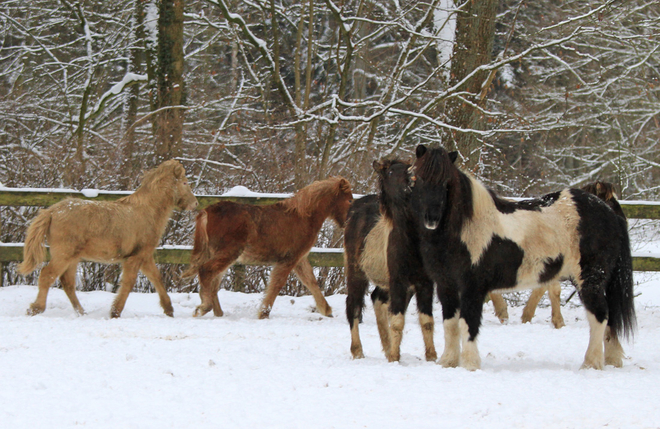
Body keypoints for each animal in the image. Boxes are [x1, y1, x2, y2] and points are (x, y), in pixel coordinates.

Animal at [17, 160, 199, 318]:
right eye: (184, 182)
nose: (195, 203)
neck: (147, 211)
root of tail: (52, 211)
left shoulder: (144, 256)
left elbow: (157, 278)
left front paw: (169, 310)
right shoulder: (135, 258)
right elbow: (128, 283)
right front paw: (115, 312)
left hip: (73, 257)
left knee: (67, 282)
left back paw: (81, 313)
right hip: (64, 254)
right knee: (46, 275)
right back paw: (36, 309)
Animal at [183, 176, 354, 320]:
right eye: (350, 201)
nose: (348, 224)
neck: (303, 218)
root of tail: (207, 211)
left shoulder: (299, 259)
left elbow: (311, 282)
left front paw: (327, 310)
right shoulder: (289, 260)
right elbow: (277, 285)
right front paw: (263, 313)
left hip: (224, 255)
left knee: (213, 282)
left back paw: (217, 313)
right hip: (228, 254)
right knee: (206, 271)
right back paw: (204, 308)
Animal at [342, 160, 436, 362]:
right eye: (391, 172)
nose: (411, 177)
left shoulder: (424, 283)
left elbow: (426, 321)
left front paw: (432, 357)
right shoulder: (398, 282)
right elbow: (398, 321)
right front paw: (394, 357)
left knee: (377, 299)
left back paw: (386, 346)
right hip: (357, 272)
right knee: (353, 306)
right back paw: (358, 350)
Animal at [412, 145, 636, 370]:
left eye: (445, 182)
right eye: (418, 178)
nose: (431, 219)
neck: (465, 228)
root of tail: (608, 212)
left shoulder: (472, 287)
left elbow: (468, 324)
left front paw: (470, 365)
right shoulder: (446, 285)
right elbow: (450, 324)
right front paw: (448, 362)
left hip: (590, 280)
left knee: (600, 316)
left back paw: (591, 364)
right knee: (610, 318)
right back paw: (612, 359)